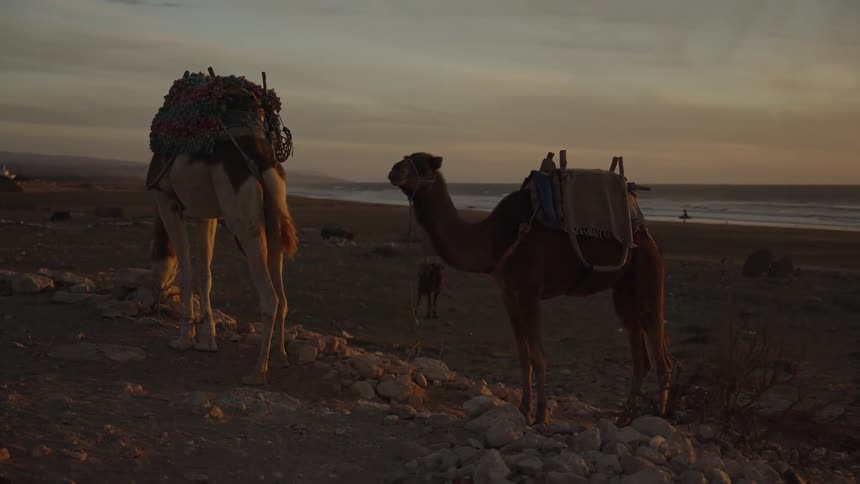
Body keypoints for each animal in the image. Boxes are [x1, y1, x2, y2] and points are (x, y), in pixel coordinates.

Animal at [149, 133, 298, 385]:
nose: (155, 298)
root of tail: (263, 160)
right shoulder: (205, 215)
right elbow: (204, 274)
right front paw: (207, 340)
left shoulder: (167, 202)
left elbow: (187, 270)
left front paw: (184, 339)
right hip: (274, 220)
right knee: (283, 297)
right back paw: (280, 358)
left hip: (243, 220)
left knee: (270, 298)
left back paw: (257, 373)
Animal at [388, 152, 672, 424]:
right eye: (406, 158)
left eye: (422, 165)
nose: (393, 170)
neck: (494, 239)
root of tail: (644, 232)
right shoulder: (509, 294)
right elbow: (523, 356)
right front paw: (524, 409)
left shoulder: (530, 292)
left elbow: (537, 356)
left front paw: (541, 414)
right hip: (623, 290)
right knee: (641, 355)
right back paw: (625, 416)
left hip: (647, 272)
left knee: (659, 349)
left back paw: (660, 414)